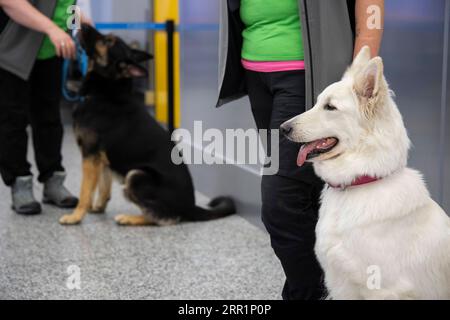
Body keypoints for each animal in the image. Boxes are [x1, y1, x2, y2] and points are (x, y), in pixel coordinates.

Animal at [59, 24, 237, 225]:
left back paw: (129, 218)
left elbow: (85, 190)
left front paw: (76, 216)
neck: (105, 92)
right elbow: (102, 186)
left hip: (136, 175)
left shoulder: (90, 156)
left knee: (164, 217)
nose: (82, 23)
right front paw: (97, 207)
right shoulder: (101, 159)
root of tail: (190, 207)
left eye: (107, 41)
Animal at [282, 45, 450, 300]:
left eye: (330, 107)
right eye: (317, 102)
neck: (359, 184)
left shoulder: (382, 289)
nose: (283, 128)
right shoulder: (340, 283)